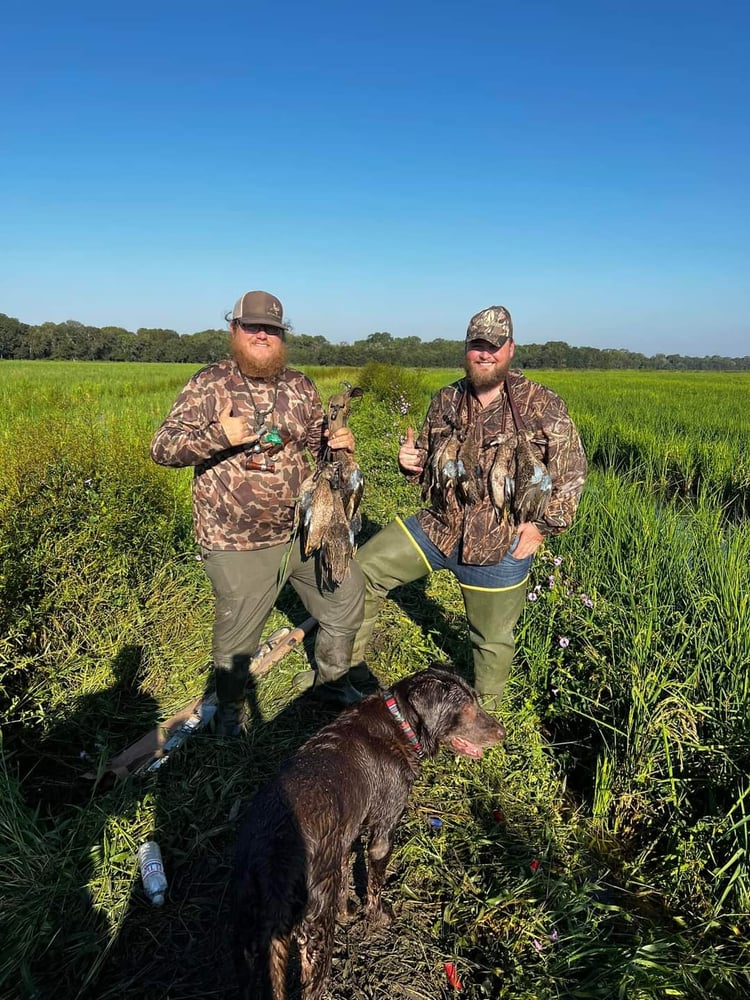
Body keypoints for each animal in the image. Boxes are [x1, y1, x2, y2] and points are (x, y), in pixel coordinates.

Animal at [235, 664, 506, 1000]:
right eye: (466, 708)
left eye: (476, 701)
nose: (502, 733)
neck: (400, 723)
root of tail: (271, 859)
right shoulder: (382, 834)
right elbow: (376, 886)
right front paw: (378, 918)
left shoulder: (342, 841)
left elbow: (342, 886)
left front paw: (348, 912)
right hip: (314, 938)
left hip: (249, 948)